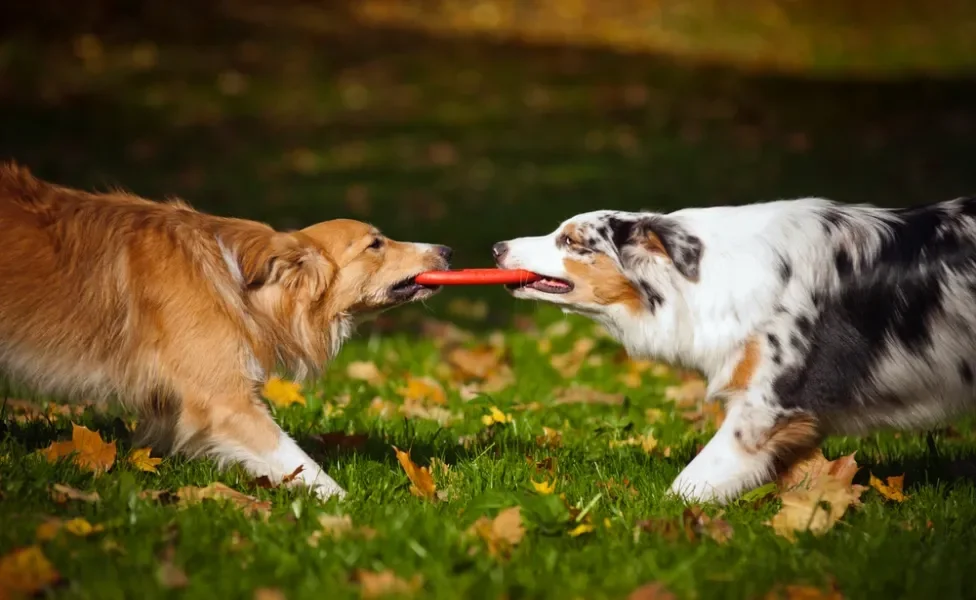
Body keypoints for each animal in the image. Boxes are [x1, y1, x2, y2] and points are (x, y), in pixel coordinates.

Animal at [0, 163, 450, 496]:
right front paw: (347, 507)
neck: (242, 283)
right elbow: (297, 460)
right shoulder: (223, 399)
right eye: (376, 244)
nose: (447, 249)